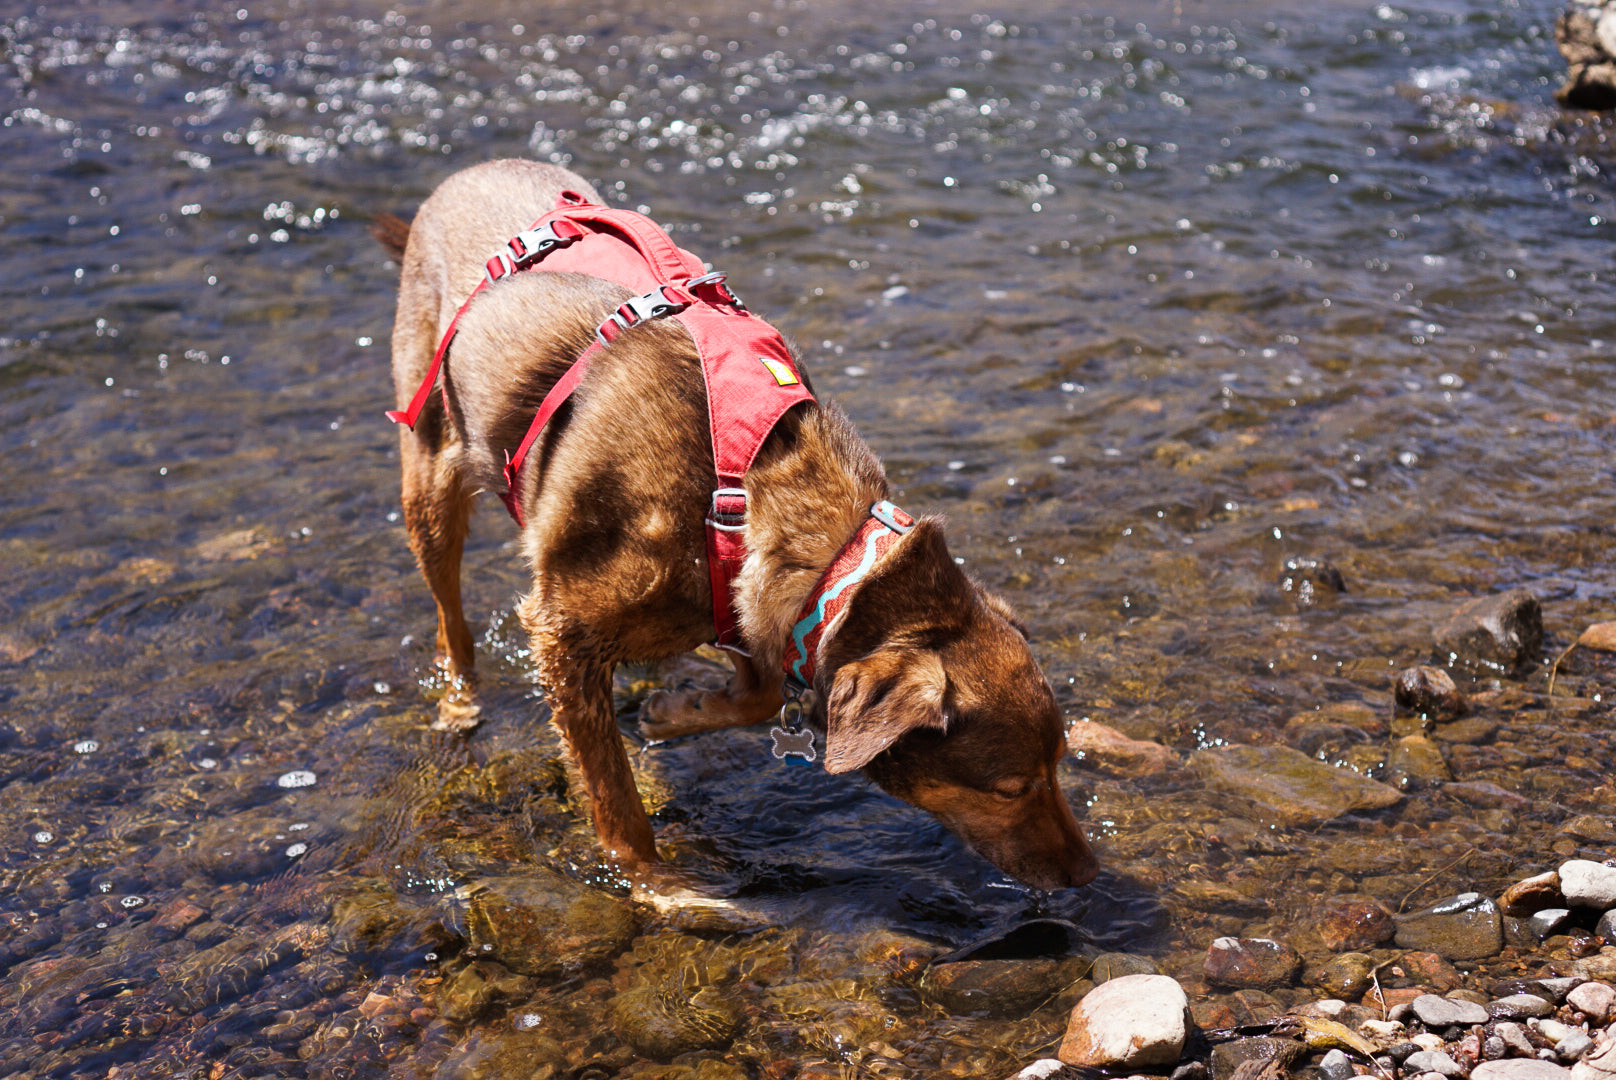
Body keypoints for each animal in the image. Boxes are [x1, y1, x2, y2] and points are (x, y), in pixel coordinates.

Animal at [378, 156, 1098, 892]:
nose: (1090, 873)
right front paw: (653, 882)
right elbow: (614, 797)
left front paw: (679, 714)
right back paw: (459, 699)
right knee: (452, 617)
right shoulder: (562, 632)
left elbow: (757, 690)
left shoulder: (739, 597)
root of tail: (467, 175)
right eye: (1013, 788)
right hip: (430, 472)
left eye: (1060, 763)